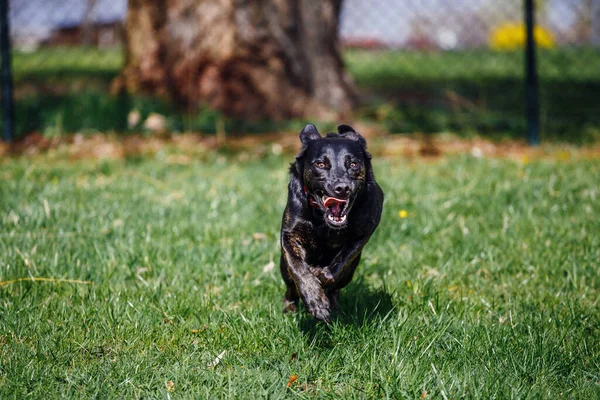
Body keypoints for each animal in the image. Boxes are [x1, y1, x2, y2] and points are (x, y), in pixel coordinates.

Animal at [278, 123, 382, 324]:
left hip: (350, 272)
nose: (342, 188)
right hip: (283, 268)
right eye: (320, 164)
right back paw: (290, 309)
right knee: (291, 287)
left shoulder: (364, 231)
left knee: (336, 288)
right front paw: (315, 301)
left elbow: (341, 262)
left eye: (353, 164)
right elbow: (297, 267)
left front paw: (321, 276)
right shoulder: (289, 235)